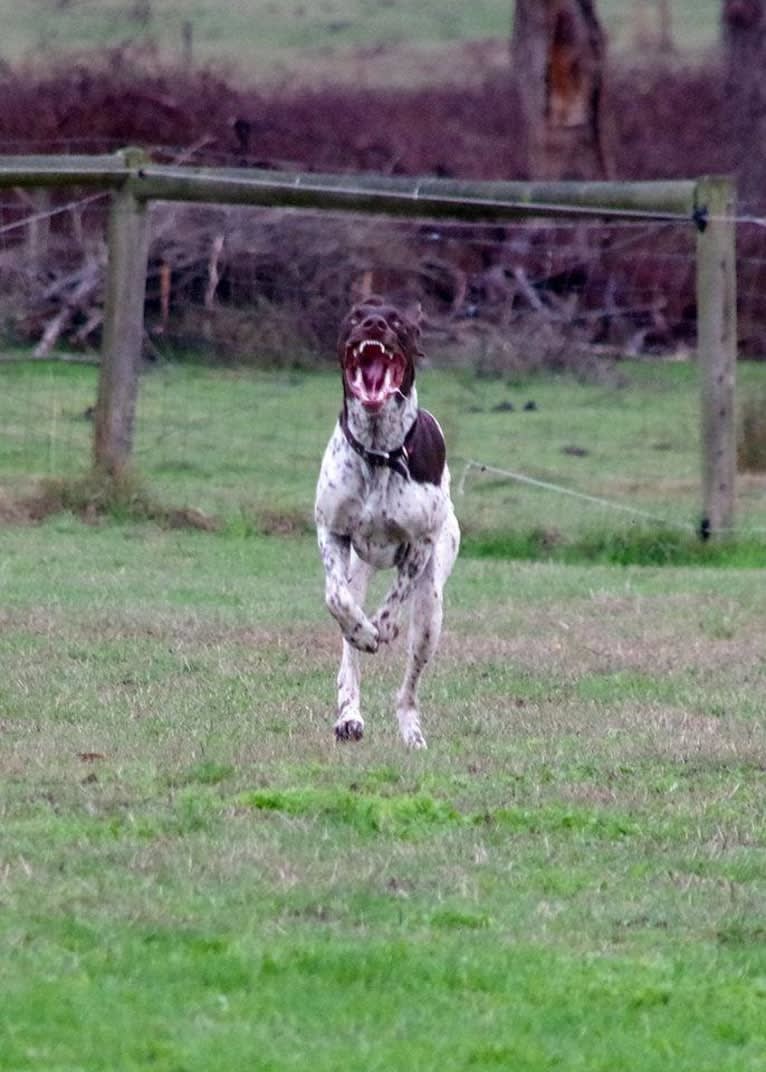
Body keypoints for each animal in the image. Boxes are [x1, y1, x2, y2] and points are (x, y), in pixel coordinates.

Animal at [312, 293, 458, 746]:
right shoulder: (331, 532)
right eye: (355, 316)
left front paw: (383, 627)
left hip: (431, 611)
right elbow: (336, 600)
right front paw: (363, 631)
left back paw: (411, 731)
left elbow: (397, 597)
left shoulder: (421, 543)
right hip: (358, 570)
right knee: (348, 652)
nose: (374, 324)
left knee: (408, 688)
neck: (378, 451)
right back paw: (349, 716)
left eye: (396, 322)